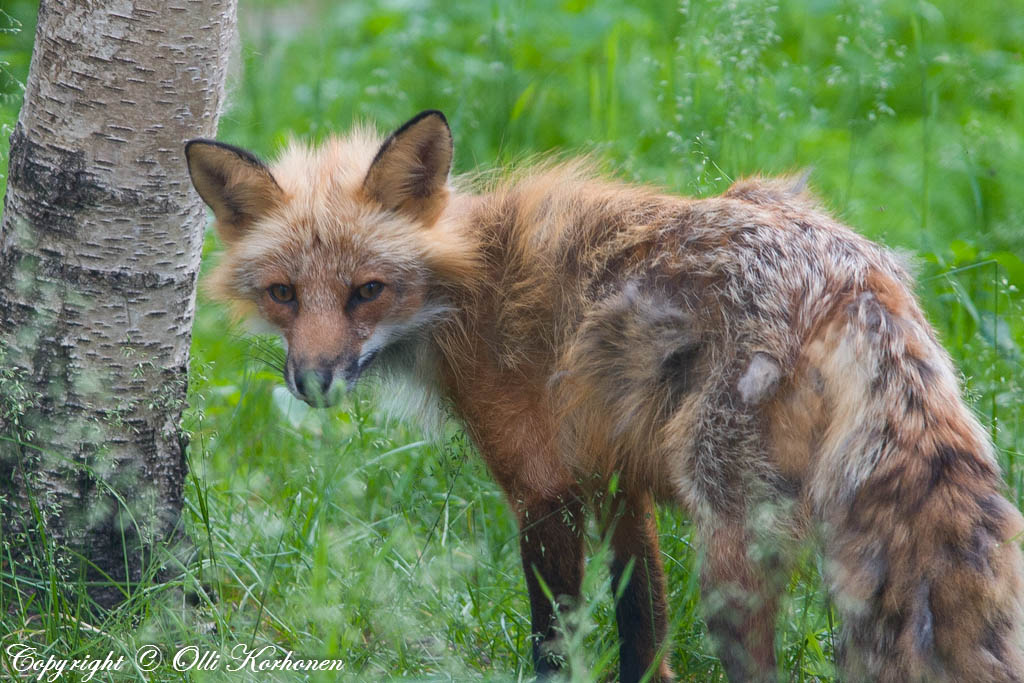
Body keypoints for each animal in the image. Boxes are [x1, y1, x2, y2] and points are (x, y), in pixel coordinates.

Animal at [184, 109, 1024, 679]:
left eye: (368, 290)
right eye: (284, 294)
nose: (313, 380)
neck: (471, 286)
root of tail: (853, 274)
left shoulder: (541, 488)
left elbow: (554, 640)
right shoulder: (623, 483)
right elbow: (642, 628)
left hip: (732, 548)